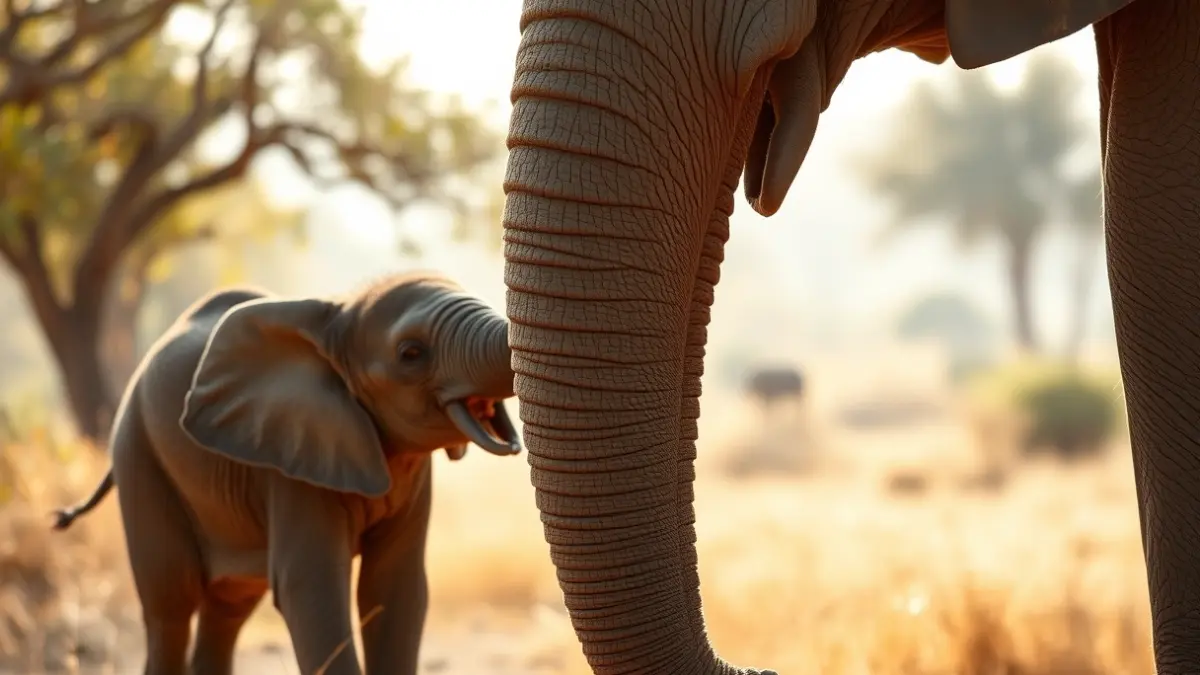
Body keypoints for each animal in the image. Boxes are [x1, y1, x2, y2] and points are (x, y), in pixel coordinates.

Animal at [50, 272, 522, 675]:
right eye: (411, 354)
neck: (340, 316)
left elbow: (395, 587)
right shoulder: (291, 466)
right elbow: (311, 588)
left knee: (229, 603)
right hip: (139, 450)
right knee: (171, 602)